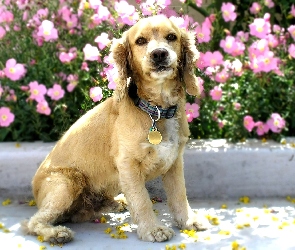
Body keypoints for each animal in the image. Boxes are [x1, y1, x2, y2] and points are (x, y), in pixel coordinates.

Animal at [26, 14, 210, 243]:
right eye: (140, 41)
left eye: (171, 37)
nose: (159, 54)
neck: (157, 110)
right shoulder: (128, 165)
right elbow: (142, 200)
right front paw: (153, 229)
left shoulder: (174, 161)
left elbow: (179, 195)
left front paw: (188, 221)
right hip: (67, 183)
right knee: (33, 222)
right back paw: (56, 233)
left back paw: (113, 202)